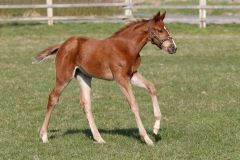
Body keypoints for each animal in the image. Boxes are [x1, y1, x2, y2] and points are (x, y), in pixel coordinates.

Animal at [36, 11, 177, 146]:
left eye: (166, 29)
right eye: (160, 30)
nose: (173, 48)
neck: (127, 47)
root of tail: (62, 45)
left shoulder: (132, 75)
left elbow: (152, 87)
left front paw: (156, 127)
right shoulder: (121, 78)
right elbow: (133, 103)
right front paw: (146, 138)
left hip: (84, 76)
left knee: (86, 104)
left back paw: (99, 138)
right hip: (64, 76)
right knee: (53, 98)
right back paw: (44, 136)